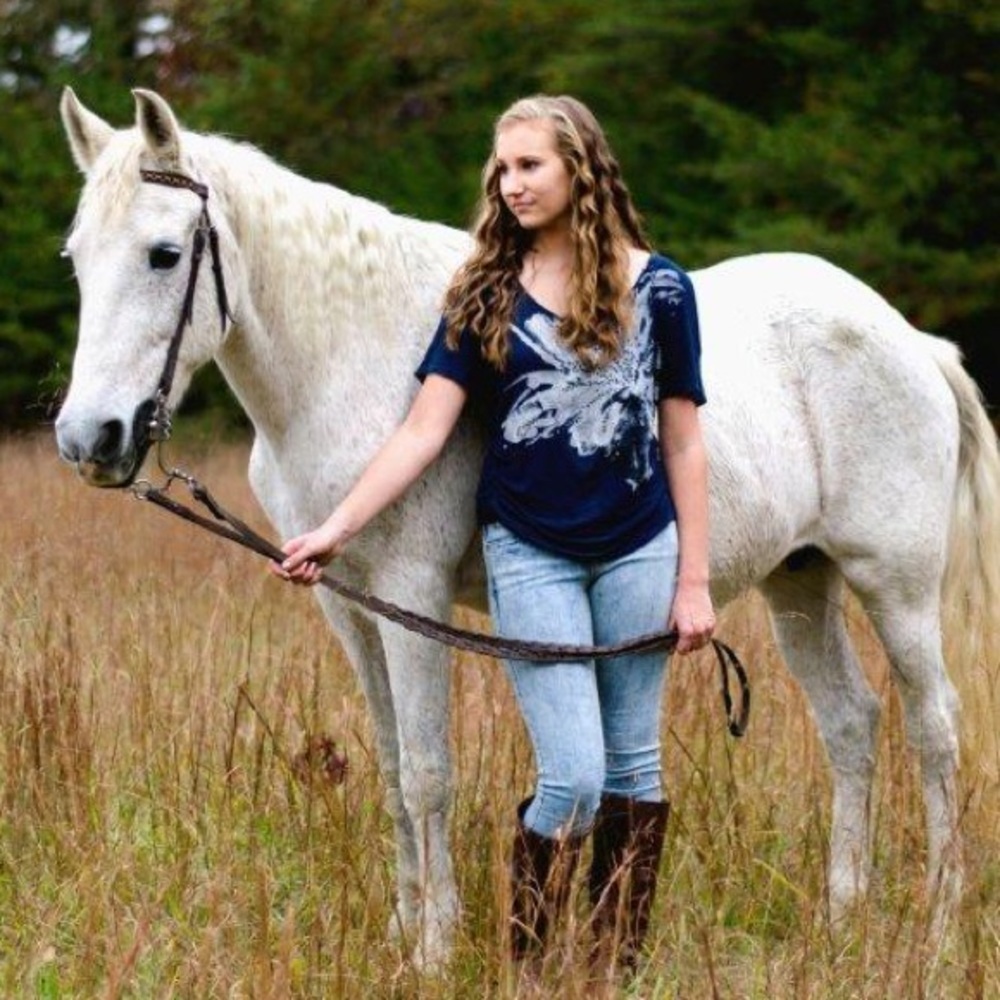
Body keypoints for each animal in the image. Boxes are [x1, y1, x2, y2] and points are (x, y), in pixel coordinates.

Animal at [55, 87, 1000, 965]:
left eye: (163, 254)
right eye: (77, 260)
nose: (89, 439)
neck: (348, 362)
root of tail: (909, 338)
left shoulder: (412, 597)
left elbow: (428, 775)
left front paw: (435, 949)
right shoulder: (348, 606)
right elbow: (392, 770)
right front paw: (401, 933)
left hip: (895, 587)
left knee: (934, 729)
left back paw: (937, 921)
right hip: (800, 584)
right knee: (852, 726)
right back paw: (844, 918)